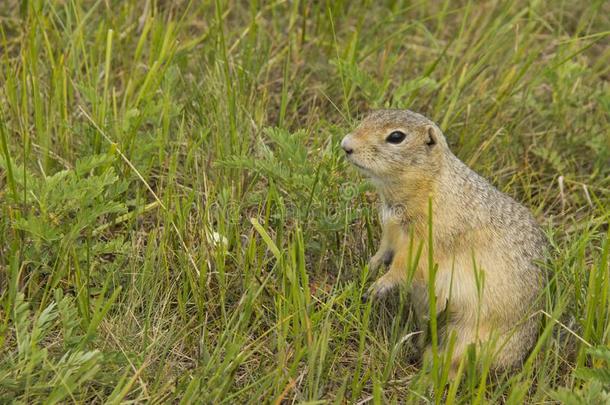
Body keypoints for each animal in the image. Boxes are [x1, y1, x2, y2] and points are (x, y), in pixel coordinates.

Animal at [342, 109, 548, 374]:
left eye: (396, 137)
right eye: (368, 116)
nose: (345, 145)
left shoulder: (426, 240)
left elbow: (407, 266)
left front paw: (379, 285)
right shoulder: (391, 229)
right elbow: (384, 250)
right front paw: (370, 266)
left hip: (470, 338)